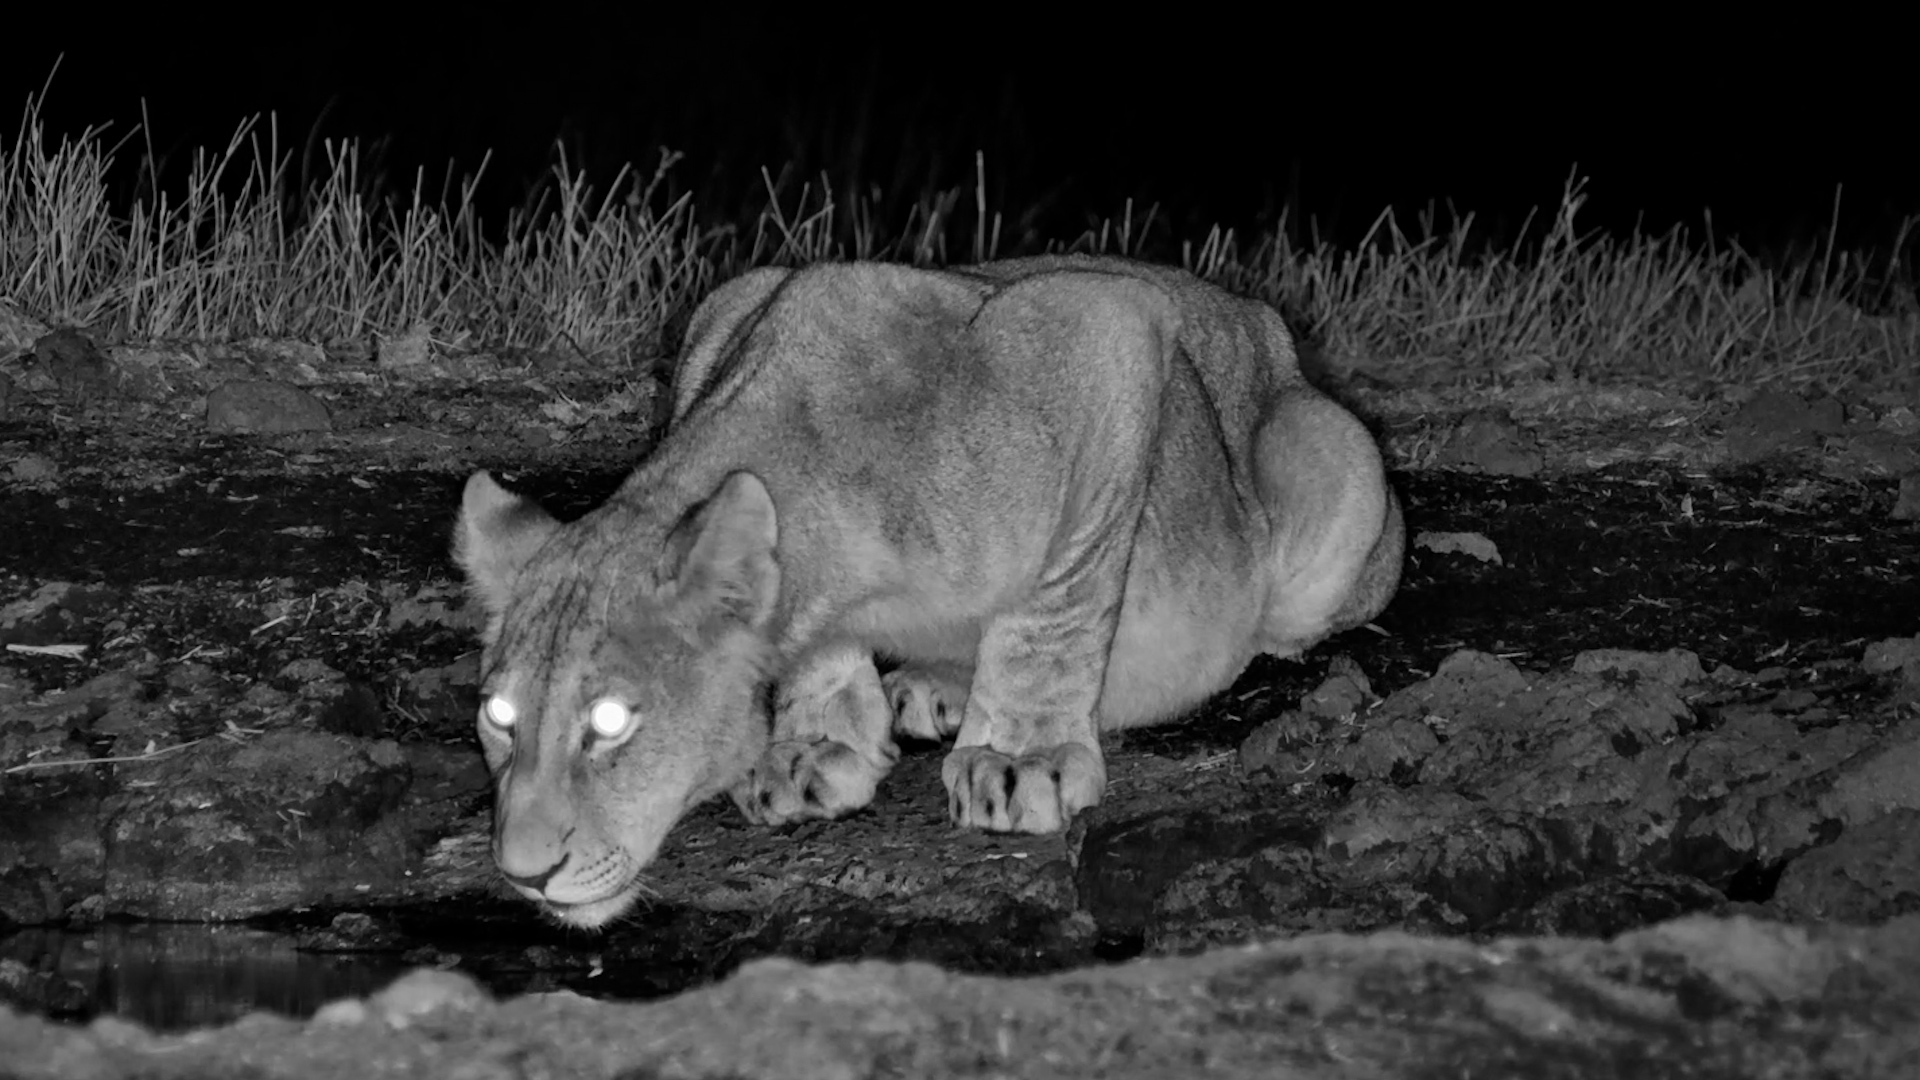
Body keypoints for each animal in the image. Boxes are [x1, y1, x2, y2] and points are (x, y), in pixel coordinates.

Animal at [454, 255, 1403, 928]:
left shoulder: (1108, 331)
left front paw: (1021, 759)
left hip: (1331, 474)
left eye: (611, 722)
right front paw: (813, 746)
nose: (523, 874)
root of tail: (1266, 323)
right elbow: (818, 655)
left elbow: (1058, 605)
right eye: (499, 717)